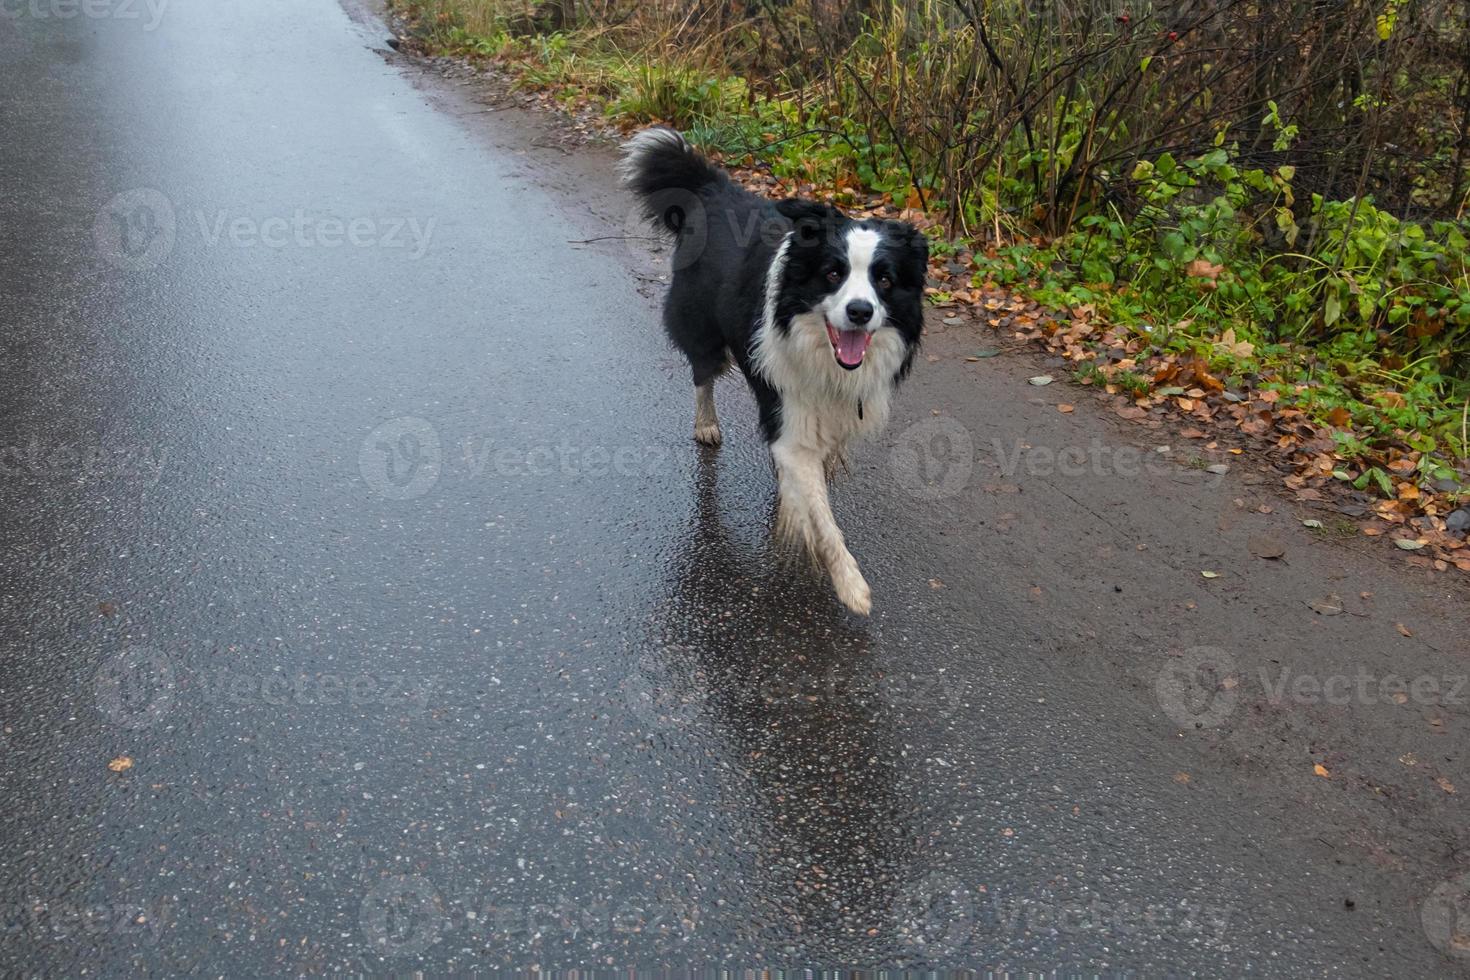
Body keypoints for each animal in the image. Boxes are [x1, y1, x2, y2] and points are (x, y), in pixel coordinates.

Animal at [623, 124, 929, 614]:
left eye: (884, 279)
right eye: (833, 273)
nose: (860, 312)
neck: (822, 353)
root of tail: (713, 188)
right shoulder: (790, 417)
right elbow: (821, 517)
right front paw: (850, 585)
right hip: (700, 324)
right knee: (702, 375)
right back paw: (706, 423)